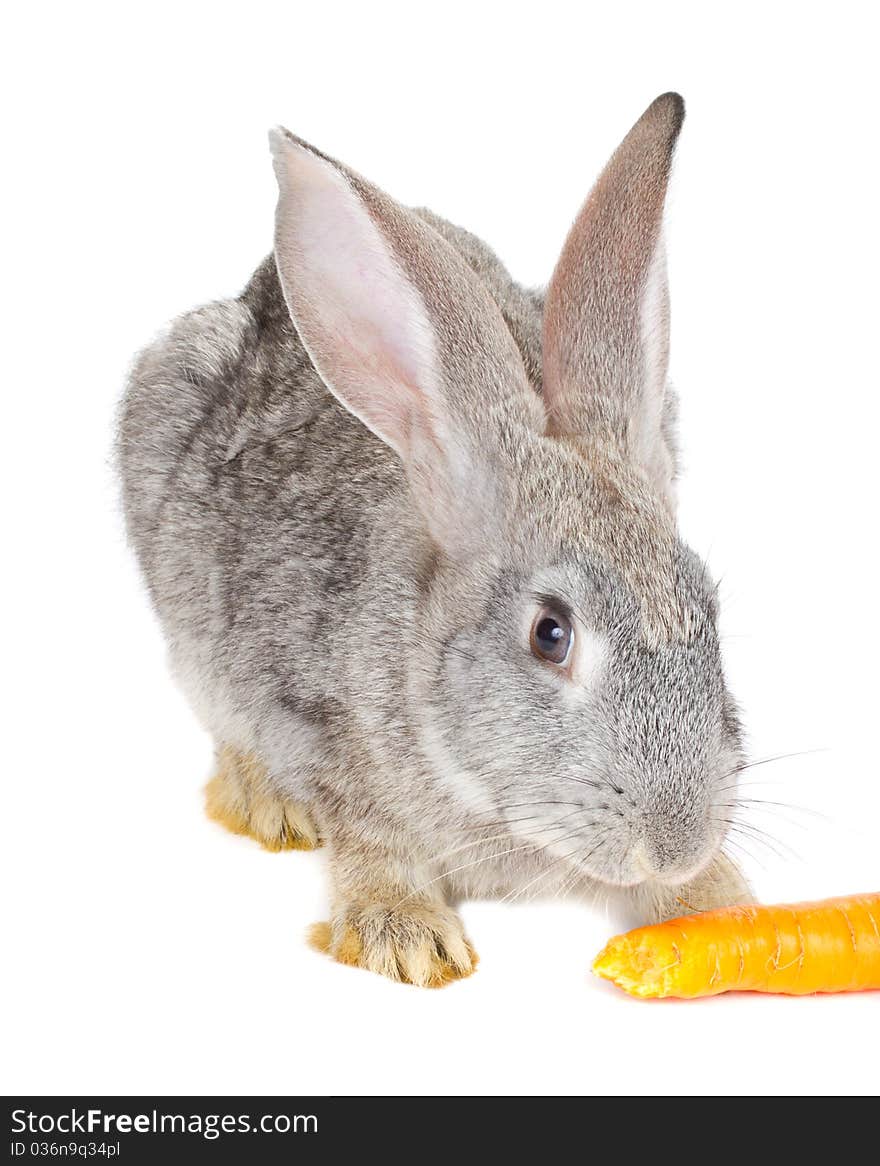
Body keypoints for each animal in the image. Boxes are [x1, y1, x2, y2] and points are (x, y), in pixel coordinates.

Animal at [117, 95, 750, 984]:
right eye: (550, 633)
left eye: (711, 612)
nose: (676, 842)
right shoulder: (318, 728)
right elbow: (369, 836)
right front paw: (407, 937)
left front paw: (717, 905)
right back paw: (268, 805)